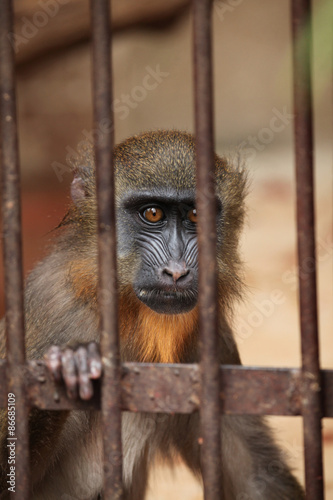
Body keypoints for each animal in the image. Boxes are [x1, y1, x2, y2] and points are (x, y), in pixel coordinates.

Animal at [0, 131, 304, 498]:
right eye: (154, 214)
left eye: (196, 216)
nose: (177, 271)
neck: (124, 312)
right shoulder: (49, 306)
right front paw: (71, 364)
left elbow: (256, 475)